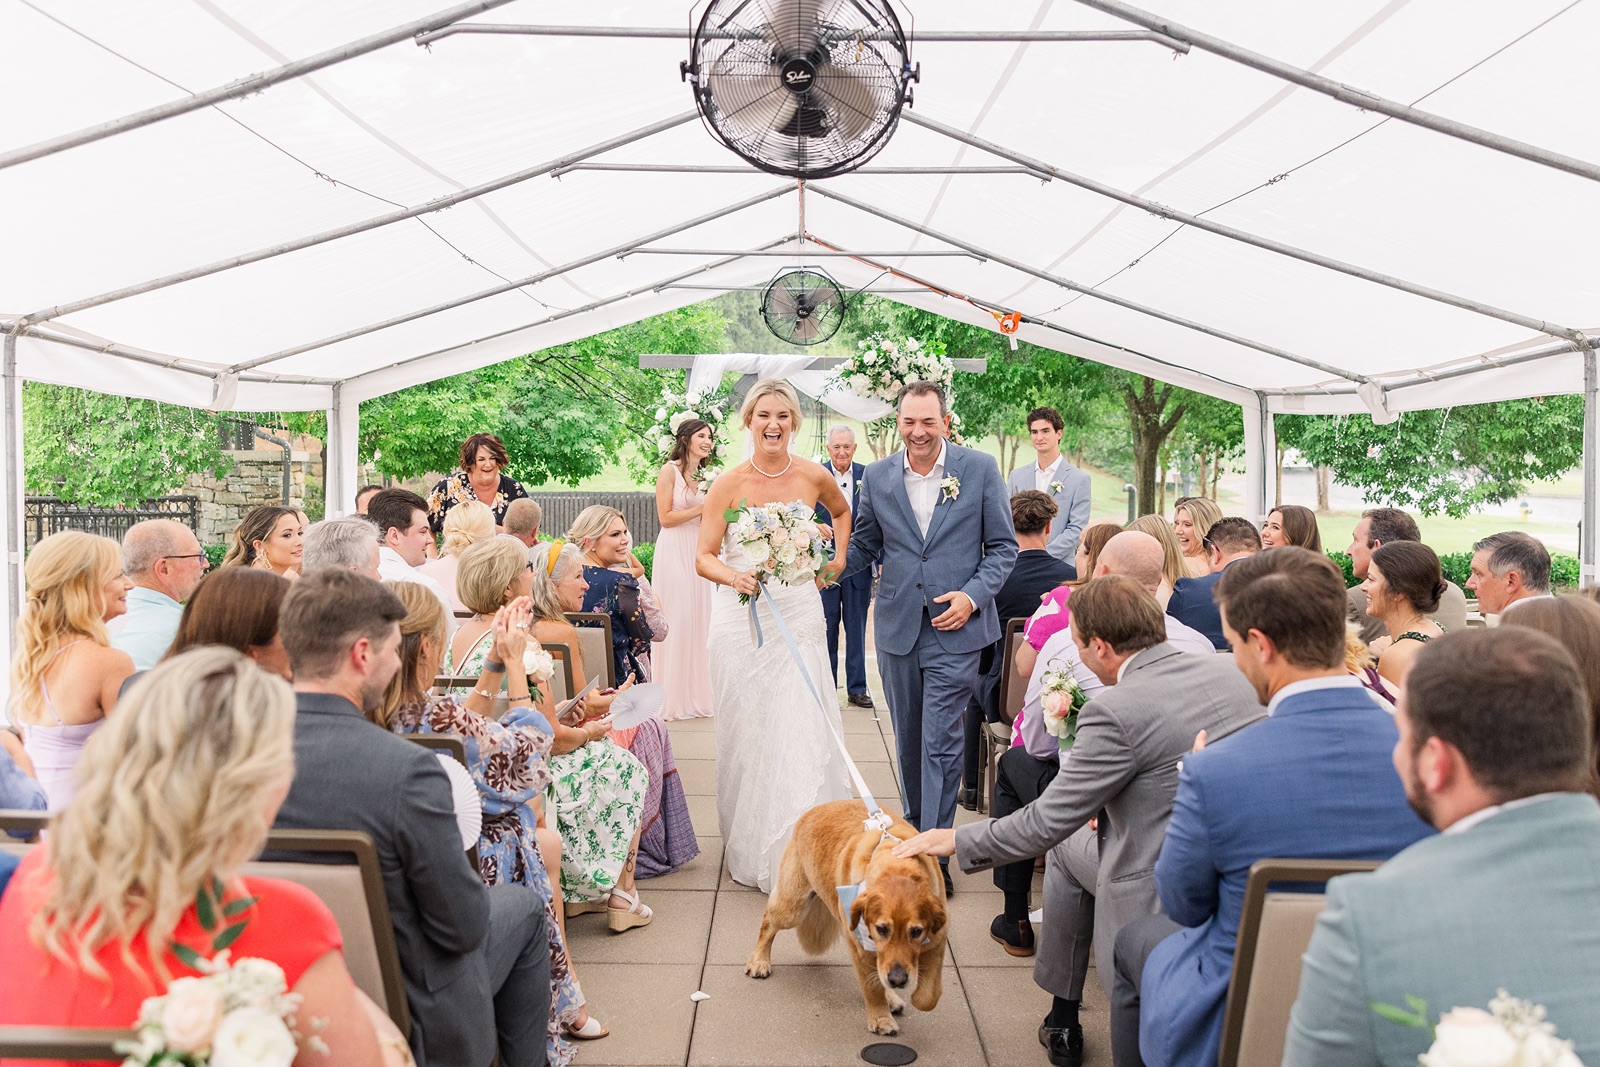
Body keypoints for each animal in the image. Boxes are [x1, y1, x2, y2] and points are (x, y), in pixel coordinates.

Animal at [739, 799, 940, 1036]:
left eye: (916, 932)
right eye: (882, 929)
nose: (898, 980)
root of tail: (818, 808)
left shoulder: (935, 940)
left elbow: (929, 993)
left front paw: (902, 998)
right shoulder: (860, 944)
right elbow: (872, 985)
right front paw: (880, 1018)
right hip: (792, 907)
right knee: (768, 922)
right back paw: (759, 960)